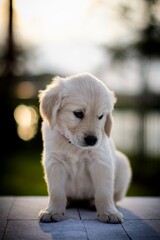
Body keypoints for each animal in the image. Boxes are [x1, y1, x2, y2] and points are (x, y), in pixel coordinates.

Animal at [38, 72, 132, 223]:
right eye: (78, 113)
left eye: (101, 116)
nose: (92, 140)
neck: (73, 145)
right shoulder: (55, 162)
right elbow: (56, 191)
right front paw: (53, 211)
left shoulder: (101, 161)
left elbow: (104, 191)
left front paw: (109, 212)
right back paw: (68, 201)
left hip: (123, 164)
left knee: (113, 196)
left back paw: (93, 203)